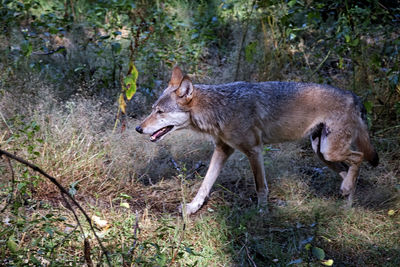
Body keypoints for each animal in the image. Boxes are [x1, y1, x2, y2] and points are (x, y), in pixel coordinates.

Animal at [135, 66, 378, 216]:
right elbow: (205, 184)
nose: (138, 128)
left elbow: (261, 187)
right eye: (152, 109)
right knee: (348, 170)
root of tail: (354, 97)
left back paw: (346, 194)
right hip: (322, 153)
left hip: (329, 152)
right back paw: (346, 204)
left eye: (160, 112)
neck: (221, 108)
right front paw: (192, 208)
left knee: (359, 158)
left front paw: (262, 212)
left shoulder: (254, 150)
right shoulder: (222, 150)